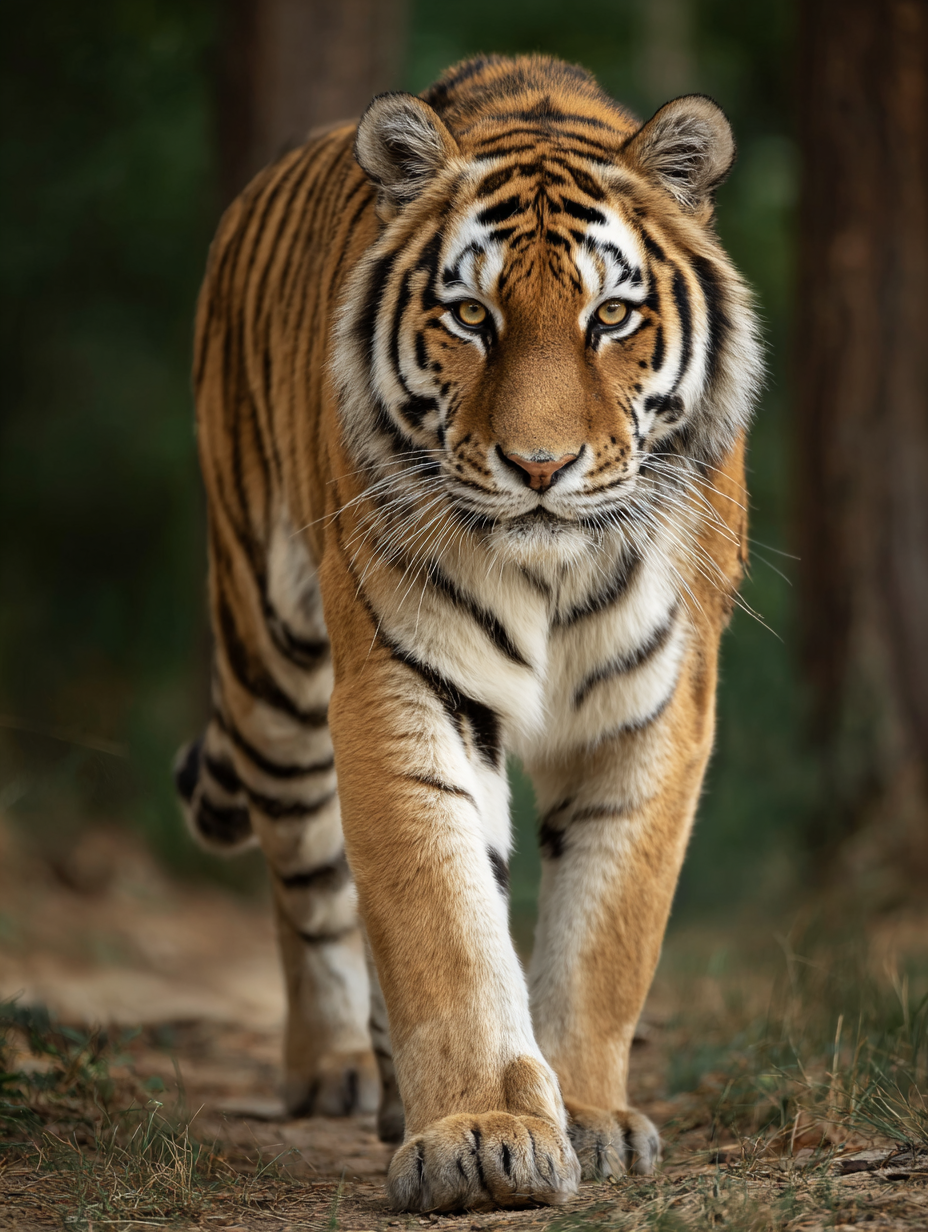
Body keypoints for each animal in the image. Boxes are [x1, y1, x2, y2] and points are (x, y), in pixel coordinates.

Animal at [174, 54, 761, 1211]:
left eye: (610, 315)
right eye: (470, 316)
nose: (538, 466)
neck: (552, 568)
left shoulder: (657, 705)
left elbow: (604, 933)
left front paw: (586, 1114)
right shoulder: (406, 684)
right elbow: (443, 920)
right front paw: (484, 1133)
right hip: (271, 662)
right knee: (308, 879)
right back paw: (335, 1070)